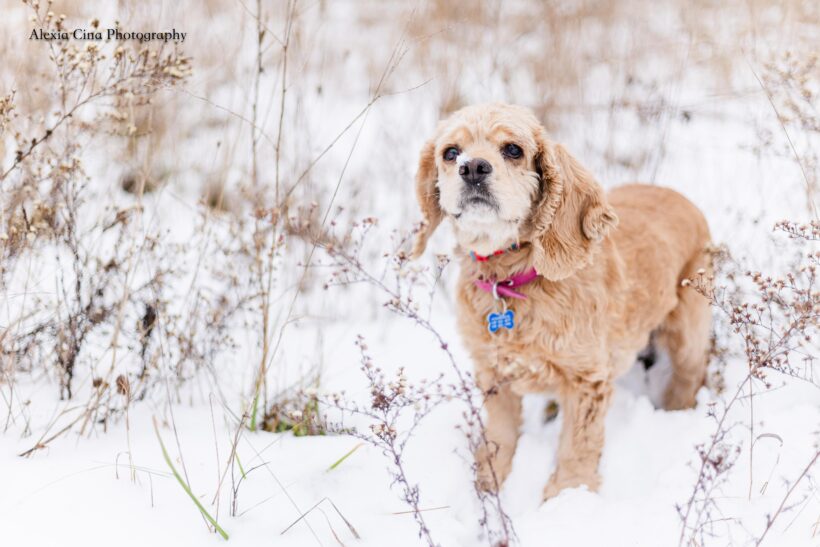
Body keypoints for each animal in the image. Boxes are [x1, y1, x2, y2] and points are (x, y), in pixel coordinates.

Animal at [410, 103, 712, 500]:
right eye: (450, 153)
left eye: (513, 150)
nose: (472, 167)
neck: (513, 279)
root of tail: (680, 196)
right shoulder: (492, 369)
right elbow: (502, 429)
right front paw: (490, 479)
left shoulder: (586, 379)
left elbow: (576, 444)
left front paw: (568, 493)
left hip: (689, 325)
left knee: (691, 371)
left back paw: (676, 410)